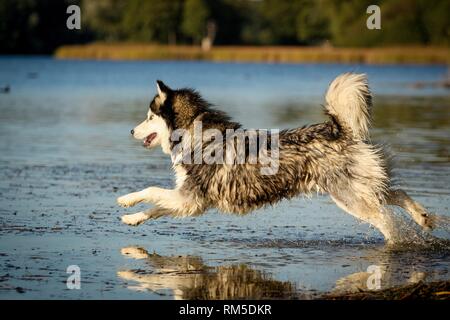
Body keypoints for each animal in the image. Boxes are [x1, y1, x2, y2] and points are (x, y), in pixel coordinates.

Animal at [118, 72, 434, 242]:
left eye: (149, 117)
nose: (131, 130)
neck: (196, 132)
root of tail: (340, 130)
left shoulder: (190, 196)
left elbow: (151, 191)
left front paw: (126, 200)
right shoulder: (190, 203)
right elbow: (156, 208)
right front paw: (133, 218)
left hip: (349, 197)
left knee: (386, 219)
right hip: (360, 187)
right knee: (396, 193)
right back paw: (422, 217)